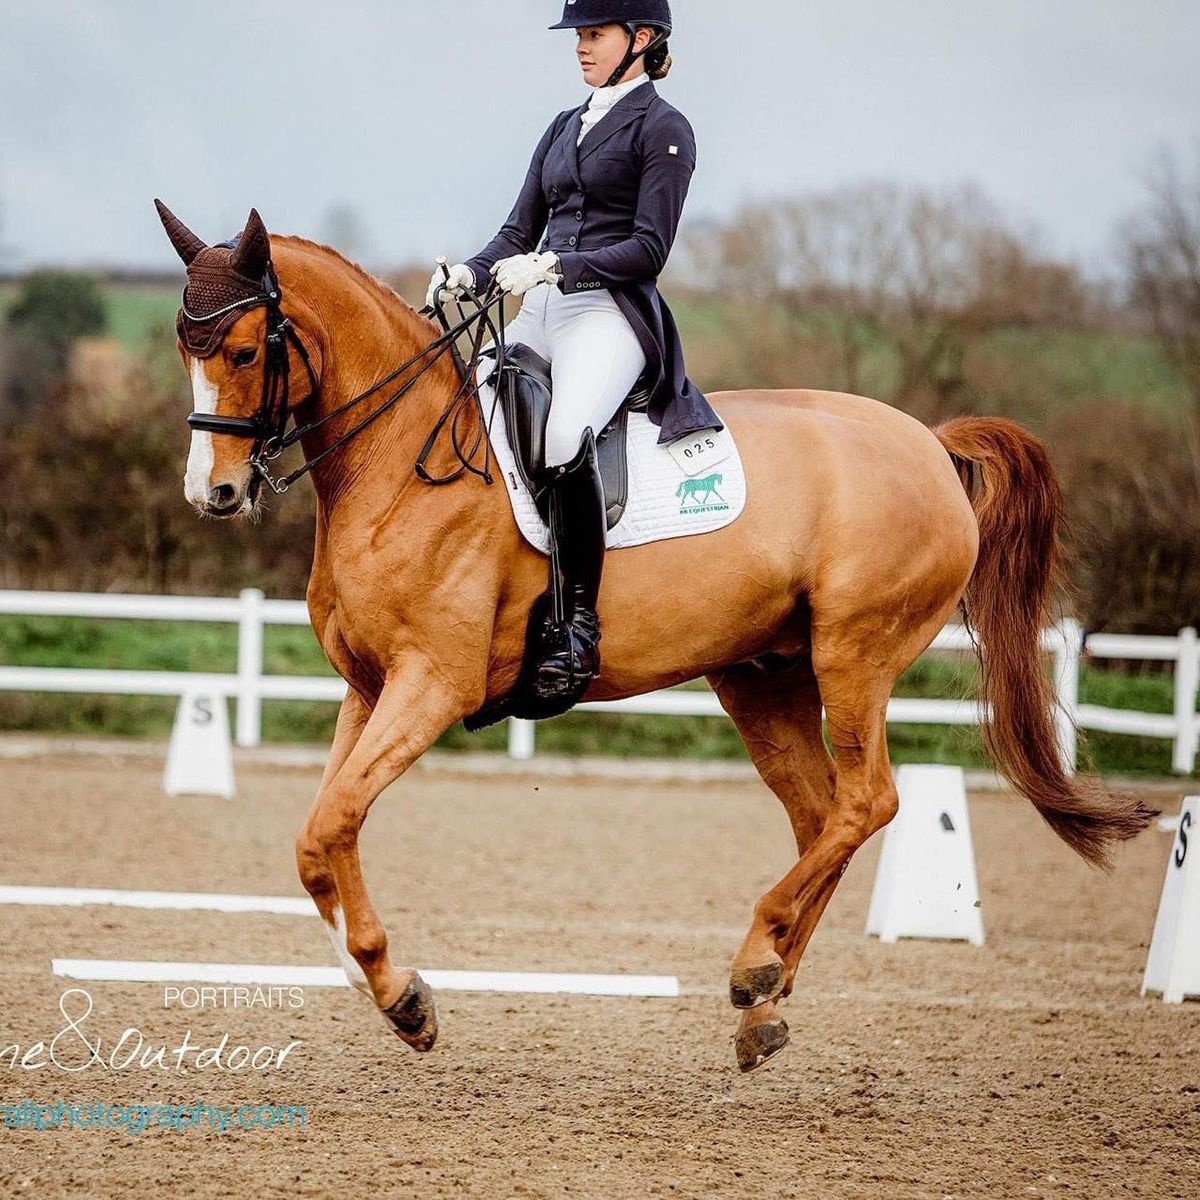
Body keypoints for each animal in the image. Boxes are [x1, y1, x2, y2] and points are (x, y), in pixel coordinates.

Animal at [157, 201, 1152, 1075]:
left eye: (242, 350)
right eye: (185, 350)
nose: (213, 494)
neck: (404, 463)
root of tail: (931, 446)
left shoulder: (430, 684)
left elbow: (332, 824)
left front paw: (401, 996)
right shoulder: (368, 688)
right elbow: (318, 841)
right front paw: (397, 996)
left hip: (855, 653)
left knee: (869, 802)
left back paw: (755, 963)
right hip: (762, 677)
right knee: (822, 816)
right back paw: (765, 1005)